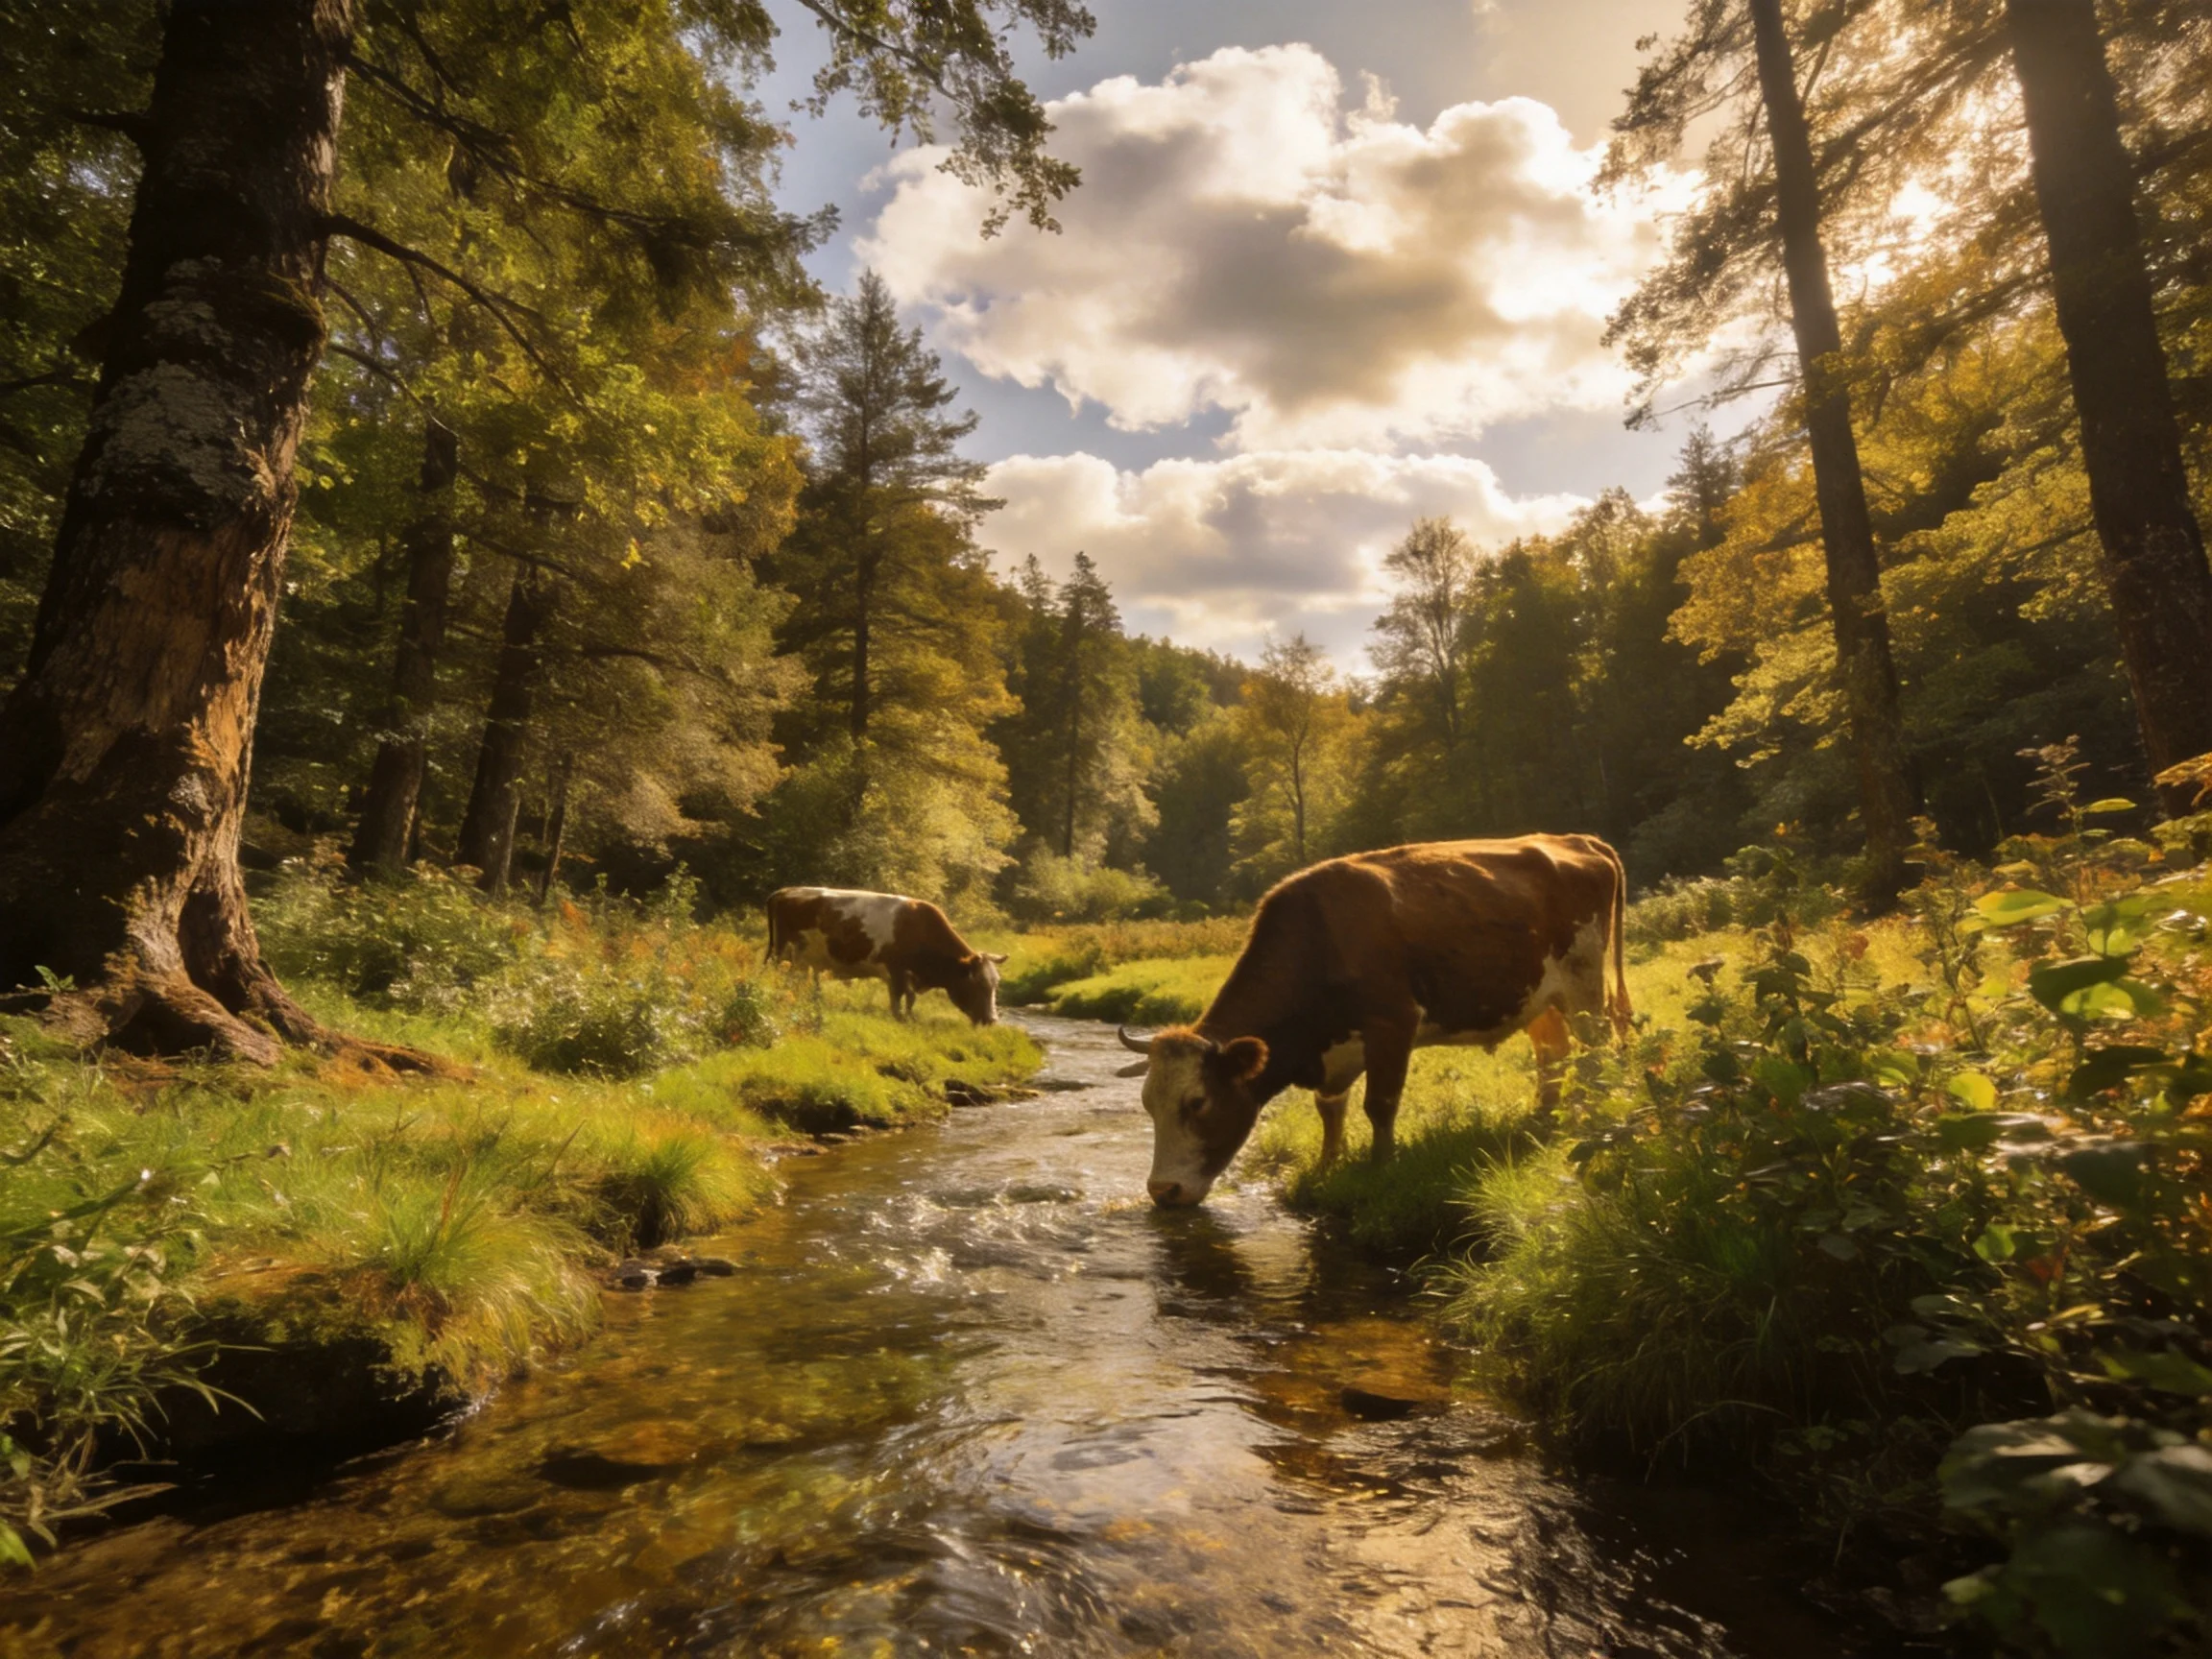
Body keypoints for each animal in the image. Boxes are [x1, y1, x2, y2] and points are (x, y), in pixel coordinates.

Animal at [765, 887, 1007, 1025]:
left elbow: (910, 999)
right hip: (783, 953)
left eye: (995, 984)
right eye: (977, 983)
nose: (991, 1020)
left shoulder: (907, 976)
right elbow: (899, 997)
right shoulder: (896, 970)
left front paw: (908, 1018)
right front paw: (898, 1018)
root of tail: (784, 891)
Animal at [1116, 835, 1630, 1208]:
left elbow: (1379, 1105)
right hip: (1538, 999)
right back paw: (1544, 1115)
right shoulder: (1335, 1053)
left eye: (1197, 1102)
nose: (1163, 1192)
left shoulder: (1392, 1025)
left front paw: (1381, 1167)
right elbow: (1331, 1109)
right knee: (1553, 1052)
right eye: (1146, 1104)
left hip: (1585, 985)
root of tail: (1576, 840)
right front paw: (1328, 1164)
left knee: (1597, 1055)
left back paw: (1589, 1115)